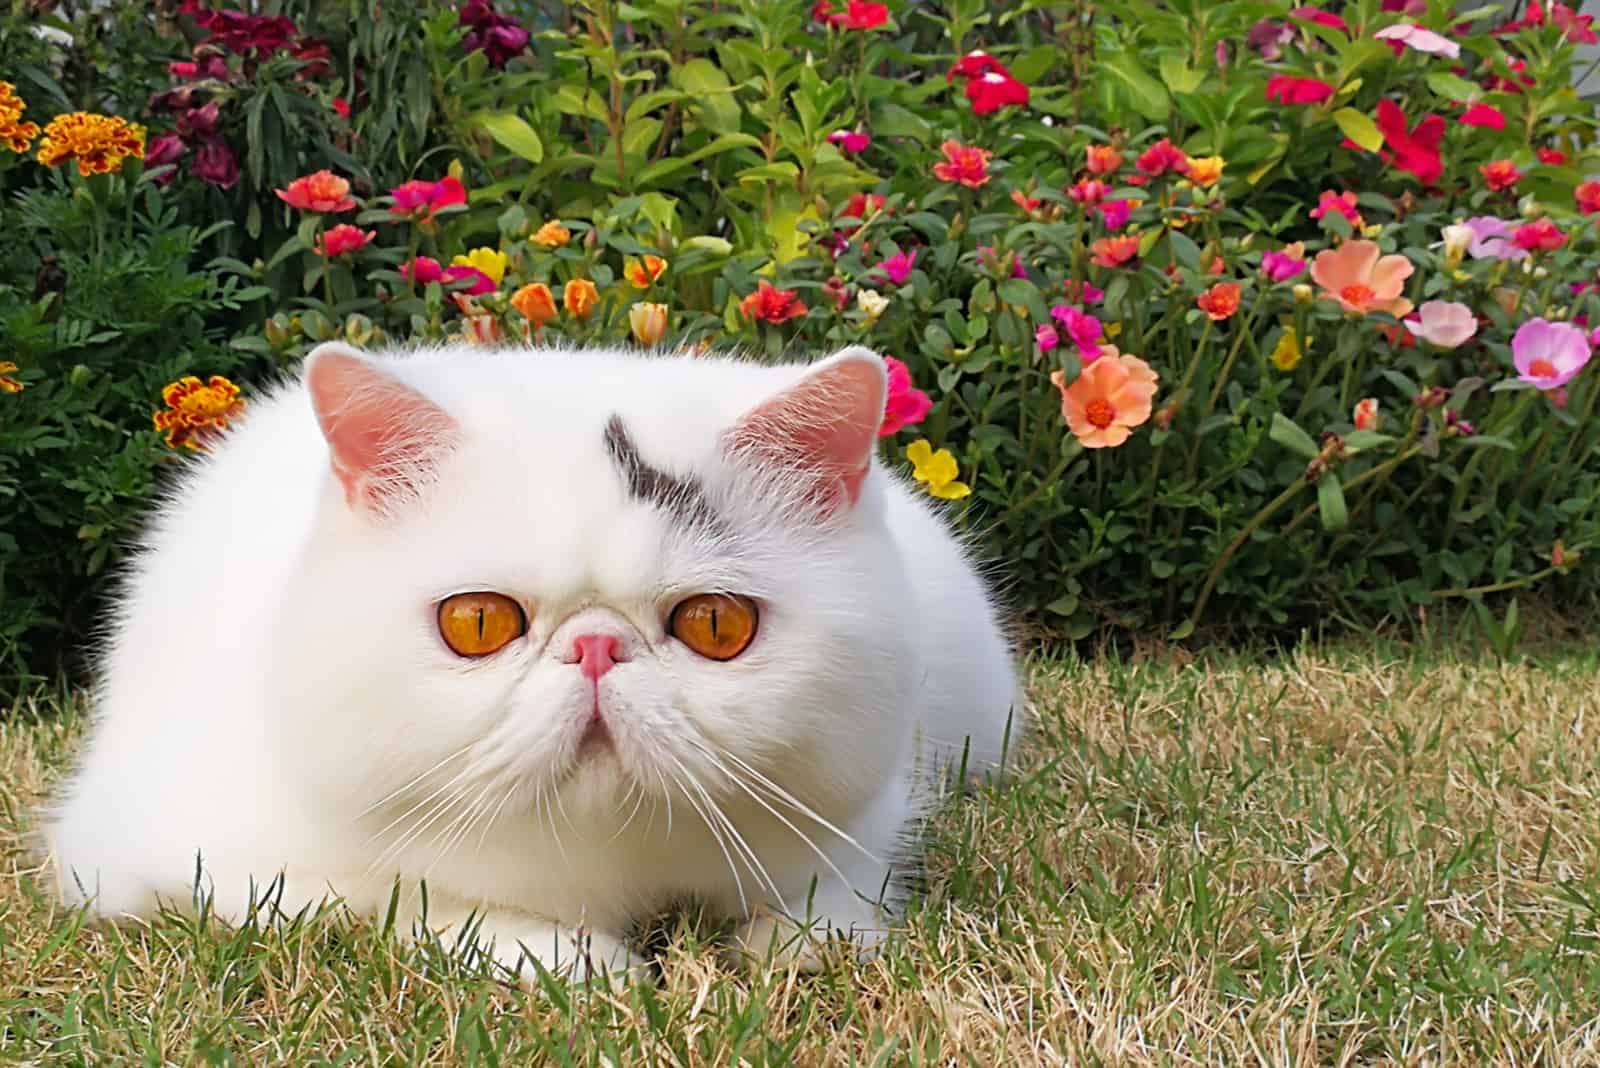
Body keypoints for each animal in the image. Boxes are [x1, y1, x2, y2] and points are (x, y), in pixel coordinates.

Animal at [50, 343, 1024, 984]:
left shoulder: (865, 818)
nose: (595, 648)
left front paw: (797, 942)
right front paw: (568, 960)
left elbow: (833, 893)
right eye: (478, 622)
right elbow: (394, 896)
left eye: (716, 624)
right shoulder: (162, 853)